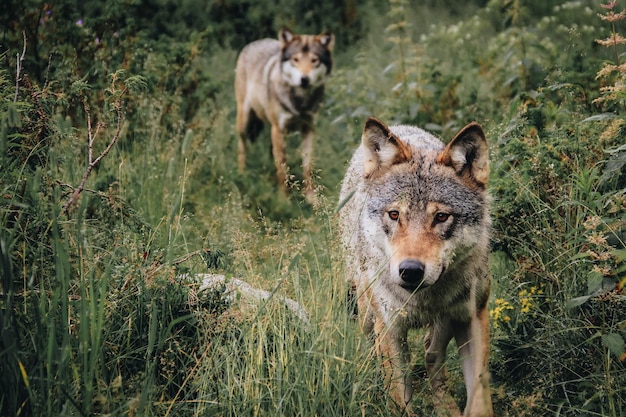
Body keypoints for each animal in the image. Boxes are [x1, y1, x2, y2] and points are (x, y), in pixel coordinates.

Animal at [233, 26, 332, 203]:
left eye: (314, 60)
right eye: (295, 60)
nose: (304, 79)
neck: (300, 102)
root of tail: (256, 41)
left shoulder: (309, 129)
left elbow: (308, 167)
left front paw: (312, 199)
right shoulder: (279, 130)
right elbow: (283, 170)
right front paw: (284, 200)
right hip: (246, 123)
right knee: (242, 146)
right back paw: (242, 174)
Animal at [336, 117, 492, 416]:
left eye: (441, 217)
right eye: (395, 215)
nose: (410, 270)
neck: (424, 300)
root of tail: (400, 126)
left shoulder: (473, 317)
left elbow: (479, 400)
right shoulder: (390, 330)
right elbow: (399, 397)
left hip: (444, 323)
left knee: (432, 353)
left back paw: (446, 406)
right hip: (367, 314)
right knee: (371, 350)